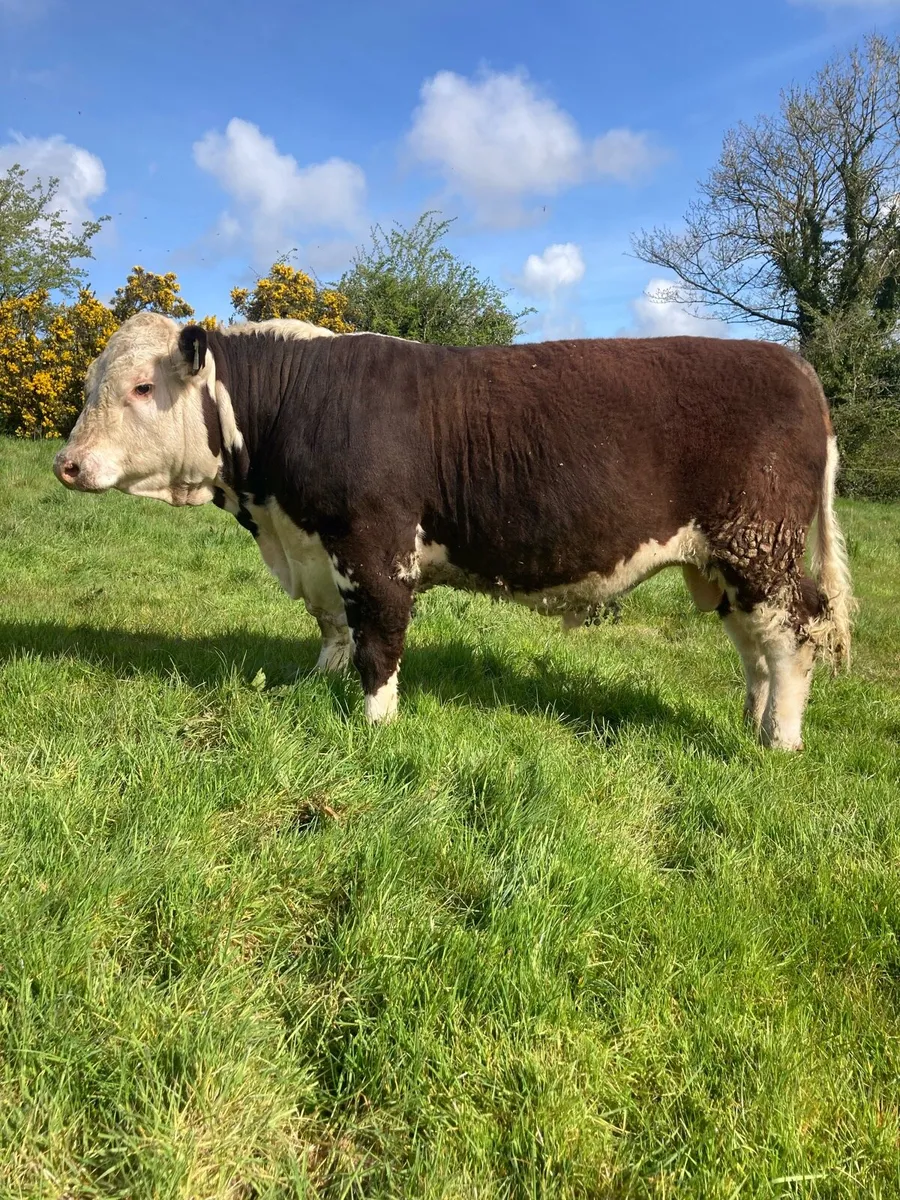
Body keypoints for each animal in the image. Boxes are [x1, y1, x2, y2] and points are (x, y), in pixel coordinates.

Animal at [53, 313, 853, 750]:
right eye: (90, 386)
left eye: (142, 387)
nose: (67, 463)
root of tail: (790, 362)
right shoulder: (319, 551)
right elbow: (334, 632)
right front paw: (316, 685)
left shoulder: (375, 549)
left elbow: (378, 641)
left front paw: (375, 726)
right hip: (722, 562)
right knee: (754, 642)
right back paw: (752, 718)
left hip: (759, 545)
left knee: (795, 632)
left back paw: (779, 740)